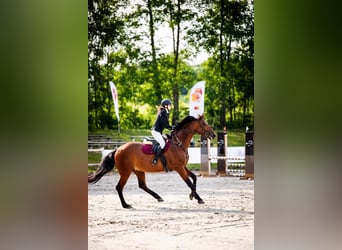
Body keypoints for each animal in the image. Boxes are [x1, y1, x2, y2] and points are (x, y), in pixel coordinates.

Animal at [88, 115, 216, 209]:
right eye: (204, 124)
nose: (213, 134)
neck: (178, 143)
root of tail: (118, 149)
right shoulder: (179, 168)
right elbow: (188, 182)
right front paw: (197, 197)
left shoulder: (183, 167)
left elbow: (194, 178)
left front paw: (194, 196)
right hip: (125, 172)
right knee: (119, 187)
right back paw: (126, 205)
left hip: (138, 171)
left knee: (142, 185)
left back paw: (158, 197)